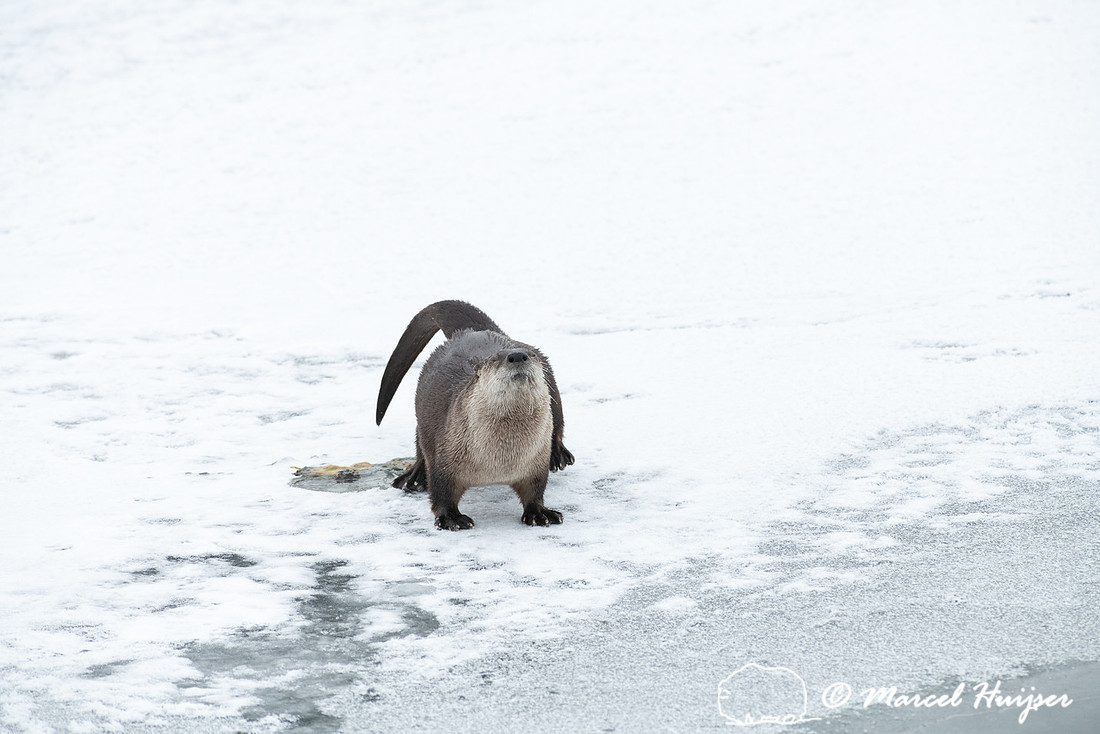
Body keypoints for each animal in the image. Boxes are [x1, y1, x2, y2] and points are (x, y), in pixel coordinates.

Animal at [375, 301, 574, 530]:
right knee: (421, 440)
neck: (501, 460)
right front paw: (451, 518)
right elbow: (441, 492)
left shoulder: (536, 462)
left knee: (558, 421)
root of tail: (471, 331)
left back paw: (559, 454)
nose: (517, 355)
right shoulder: (445, 456)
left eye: (530, 356)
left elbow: (535, 490)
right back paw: (415, 477)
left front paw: (540, 513)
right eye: (495, 359)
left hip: (553, 391)